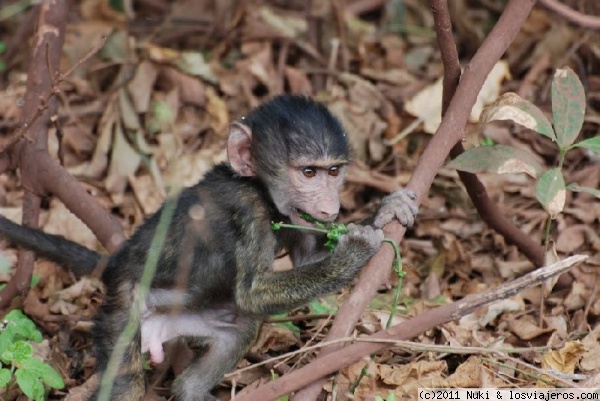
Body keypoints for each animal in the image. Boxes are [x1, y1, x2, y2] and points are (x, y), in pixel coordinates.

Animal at [0, 94, 418, 400]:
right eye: (308, 172)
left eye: (333, 172)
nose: (330, 208)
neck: (259, 189)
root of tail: (118, 263)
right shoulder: (246, 209)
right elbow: (253, 292)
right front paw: (357, 249)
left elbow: (306, 261)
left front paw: (386, 211)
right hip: (123, 308)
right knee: (127, 382)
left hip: (189, 319)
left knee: (240, 329)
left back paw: (191, 390)